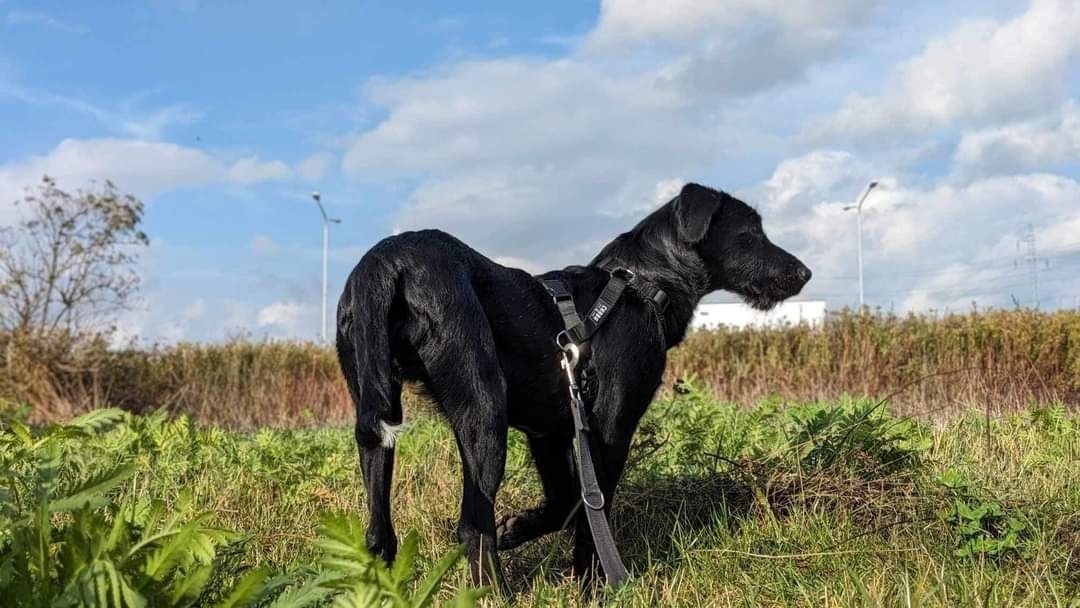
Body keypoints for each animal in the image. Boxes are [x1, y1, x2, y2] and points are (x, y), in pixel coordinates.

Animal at [336, 182, 812, 591]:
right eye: (751, 235)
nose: (805, 273)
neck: (642, 286)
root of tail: (387, 259)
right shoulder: (610, 429)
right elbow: (590, 510)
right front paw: (593, 583)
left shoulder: (549, 433)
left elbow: (567, 500)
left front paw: (519, 528)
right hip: (484, 413)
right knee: (472, 526)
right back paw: (495, 592)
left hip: (377, 421)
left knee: (380, 533)